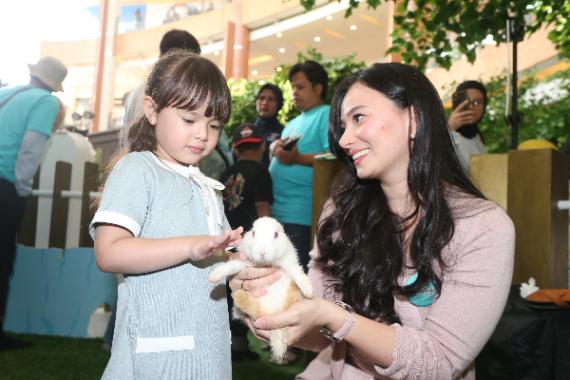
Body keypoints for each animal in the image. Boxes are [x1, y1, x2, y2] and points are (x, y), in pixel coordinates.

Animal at [209, 217, 312, 362]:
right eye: (253, 233)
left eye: (276, 234)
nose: (263, 252)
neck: (265, 264)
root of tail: (273, 313)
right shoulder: (243, 264)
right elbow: (230, 266)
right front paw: (213, 277)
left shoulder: (289, 265)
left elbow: (298, 274)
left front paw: (309, 292)